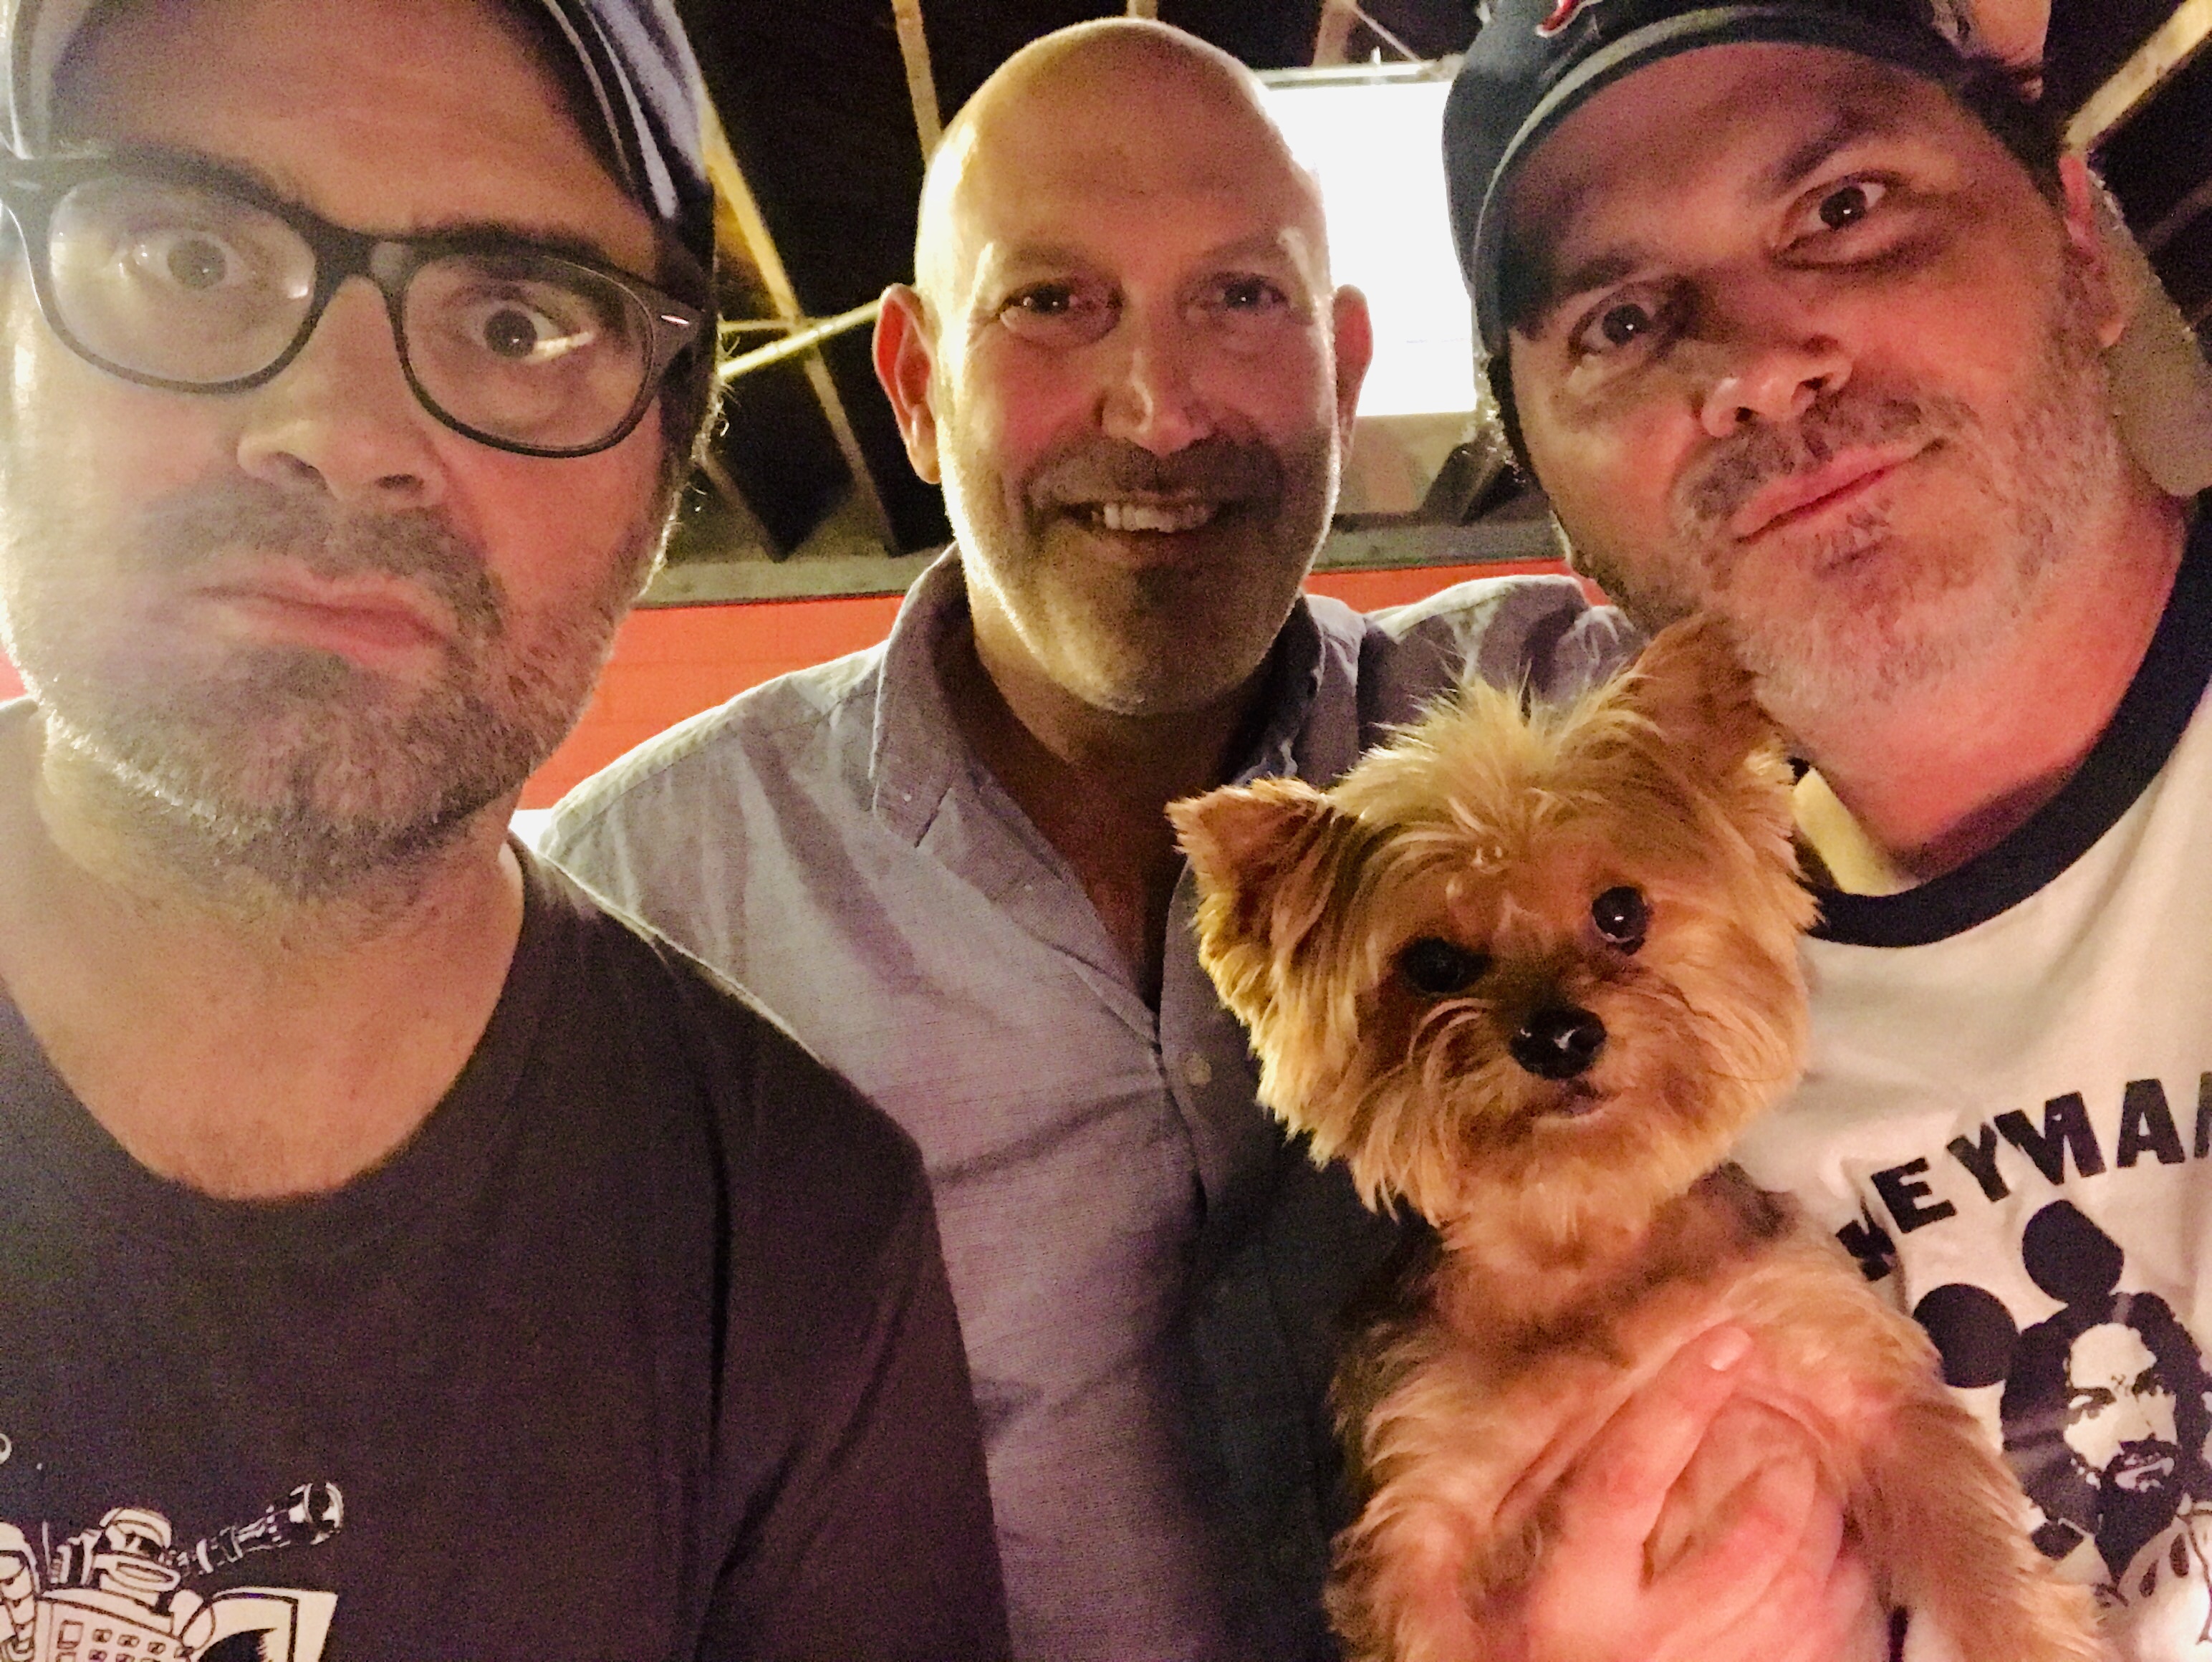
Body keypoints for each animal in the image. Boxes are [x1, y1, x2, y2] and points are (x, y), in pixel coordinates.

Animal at [1169, 618, 2105, 1662]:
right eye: (1432, 963)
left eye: (1621, 912)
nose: (1558, 1034)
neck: (1582, 1241)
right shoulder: (1419, 1514)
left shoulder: (1842, 1367)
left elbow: (1969, 1535)